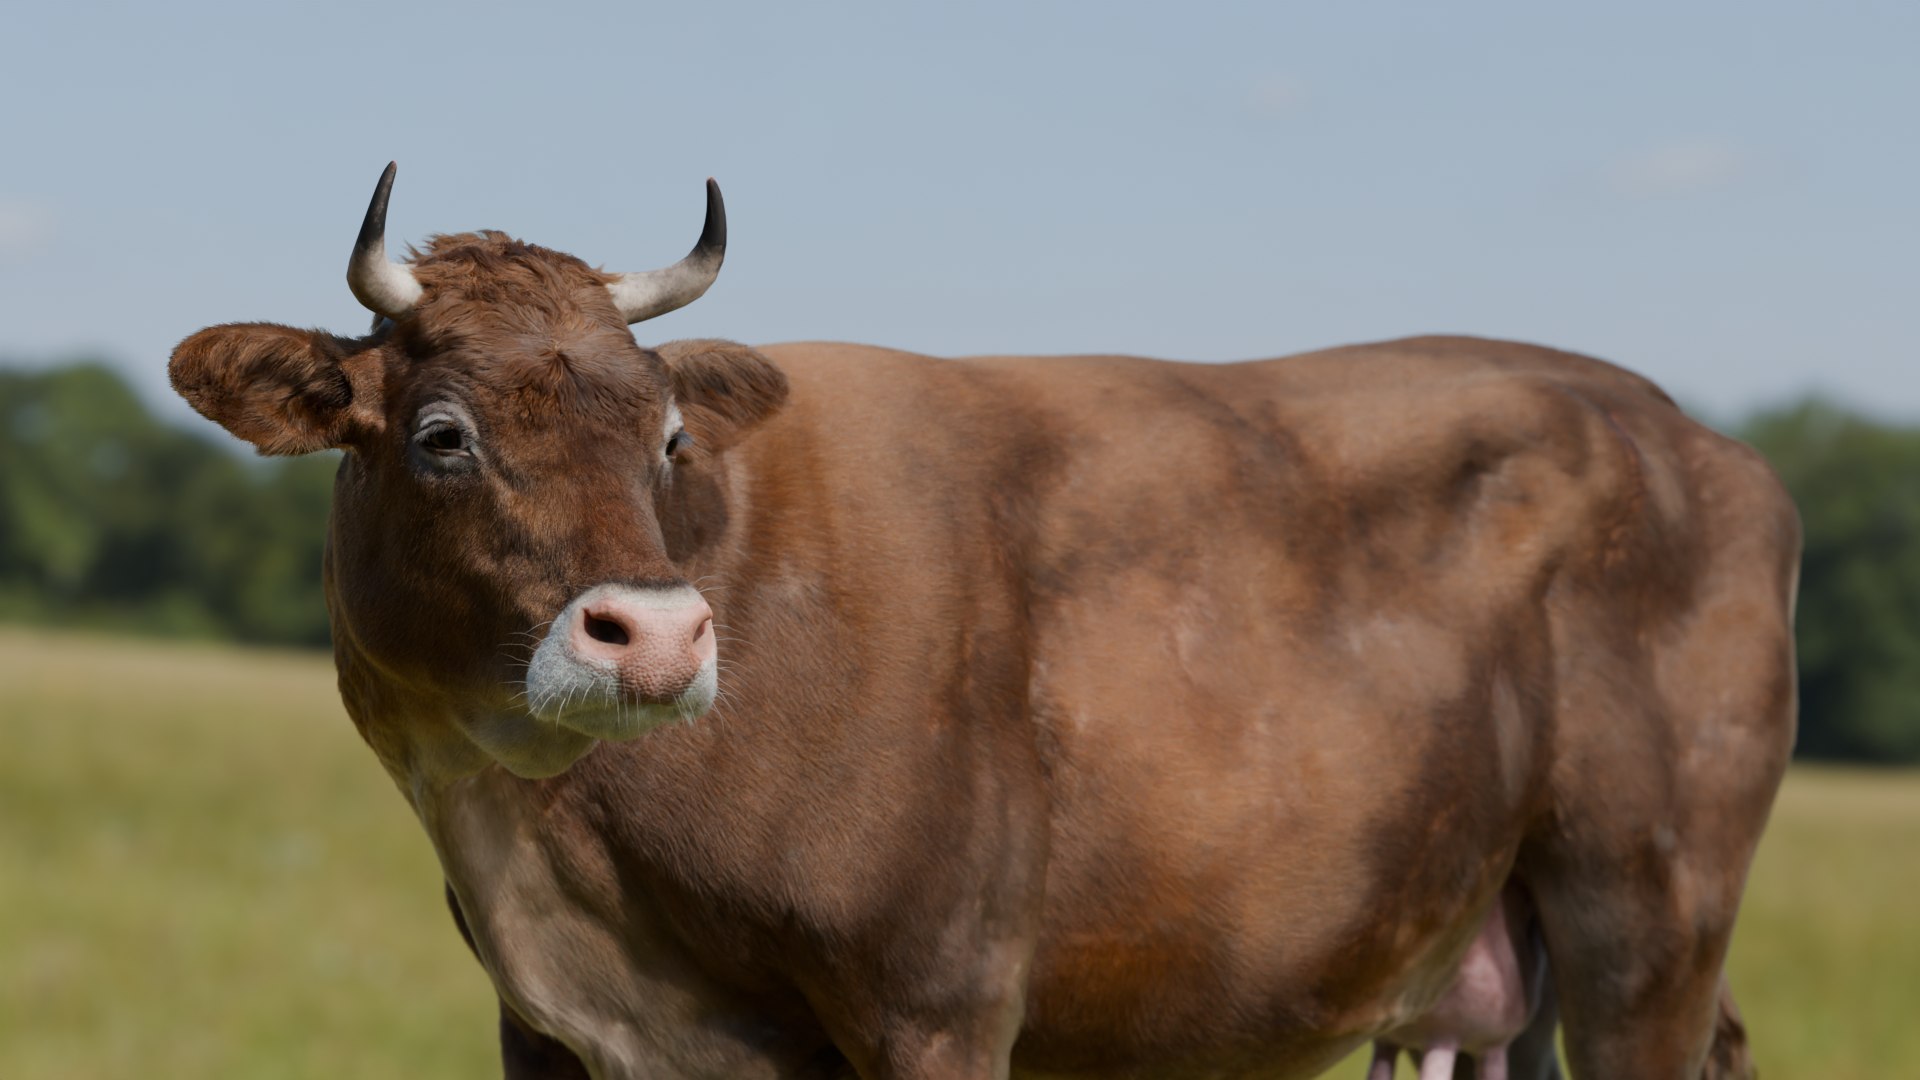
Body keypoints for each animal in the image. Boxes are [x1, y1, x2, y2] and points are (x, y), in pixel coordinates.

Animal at [169, 164, 1797, 1079]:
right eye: (441, 434)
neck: (554, 856)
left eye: (668, 433)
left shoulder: (938, 999)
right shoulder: (547, 1032)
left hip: (1646, 914)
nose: (662, 638)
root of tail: (1680, 427)